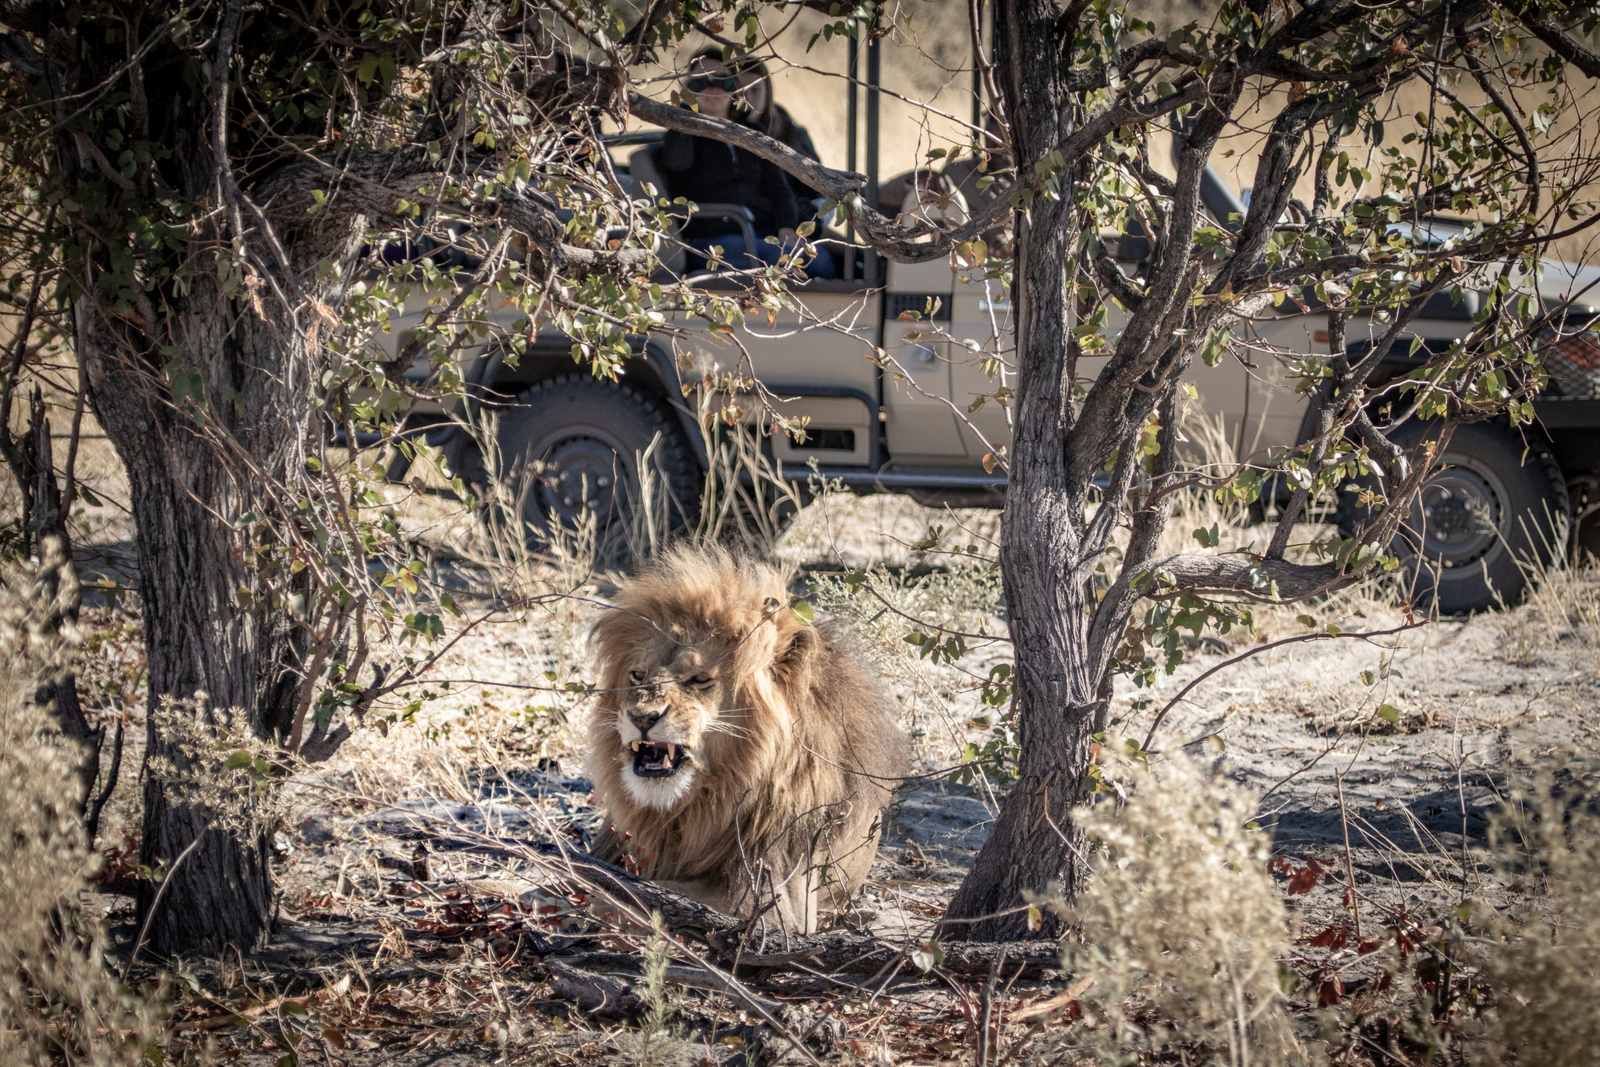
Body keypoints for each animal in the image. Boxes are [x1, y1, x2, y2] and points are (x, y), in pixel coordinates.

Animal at [586, 545, 908, 934]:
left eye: (699, 679)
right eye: (637, 675)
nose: (641, 717)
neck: (693, 807)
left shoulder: (773, 903)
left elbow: (627, 892)